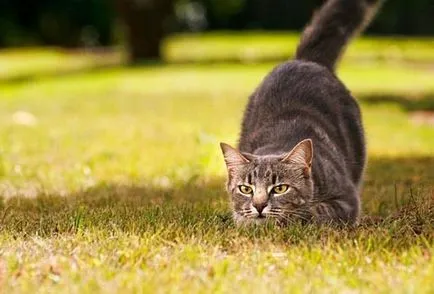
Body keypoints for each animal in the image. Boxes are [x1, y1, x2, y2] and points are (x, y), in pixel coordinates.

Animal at [220, 0, 384, 226]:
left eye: (280, 188)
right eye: (246, 189)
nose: (259, 205)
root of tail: (305, 60)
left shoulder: (347, 199)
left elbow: (315, 210)